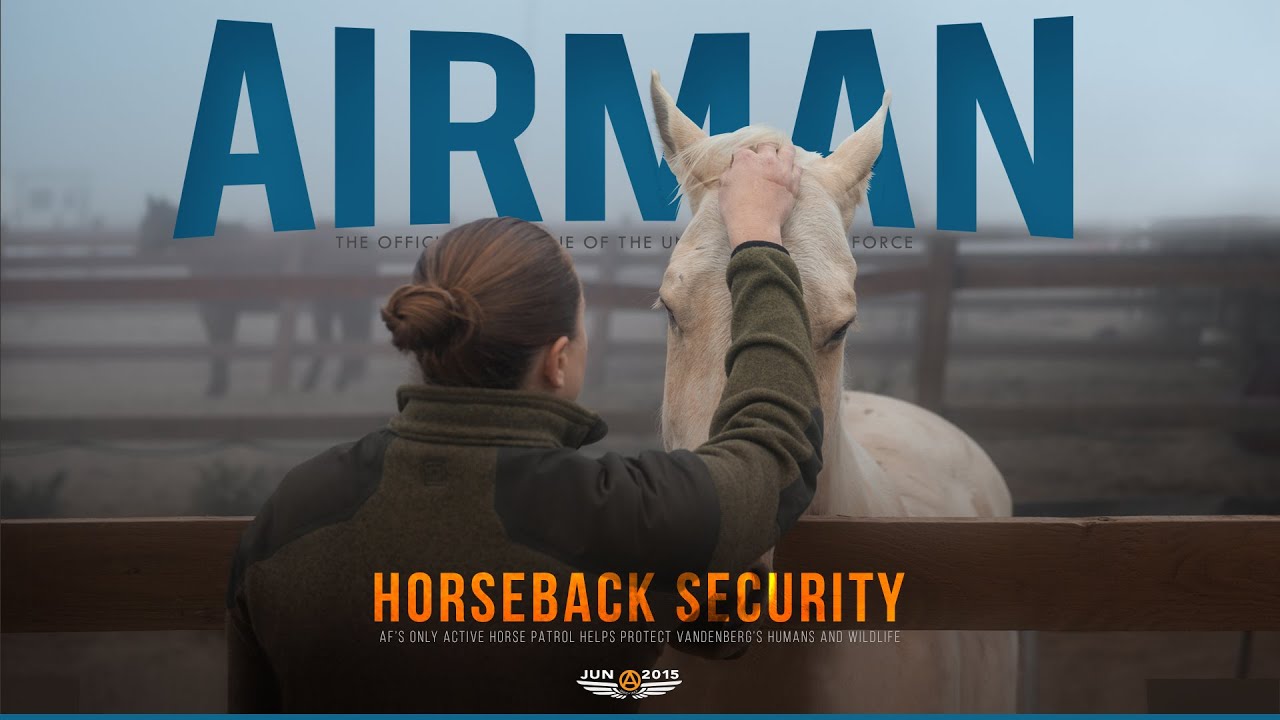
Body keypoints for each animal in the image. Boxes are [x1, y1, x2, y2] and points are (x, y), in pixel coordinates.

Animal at [138, 197, 373, 396]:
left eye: (149, 221)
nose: (140, 251)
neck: (214, 249)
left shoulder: (215, 310)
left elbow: (219, 344)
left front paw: (215, 388)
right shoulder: (228, 312)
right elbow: (226, 344)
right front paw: (221, 386)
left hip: (328, 305)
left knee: (334, 341)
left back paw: (317, 382)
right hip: (338, 307)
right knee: (346, 340)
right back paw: (334, 382)